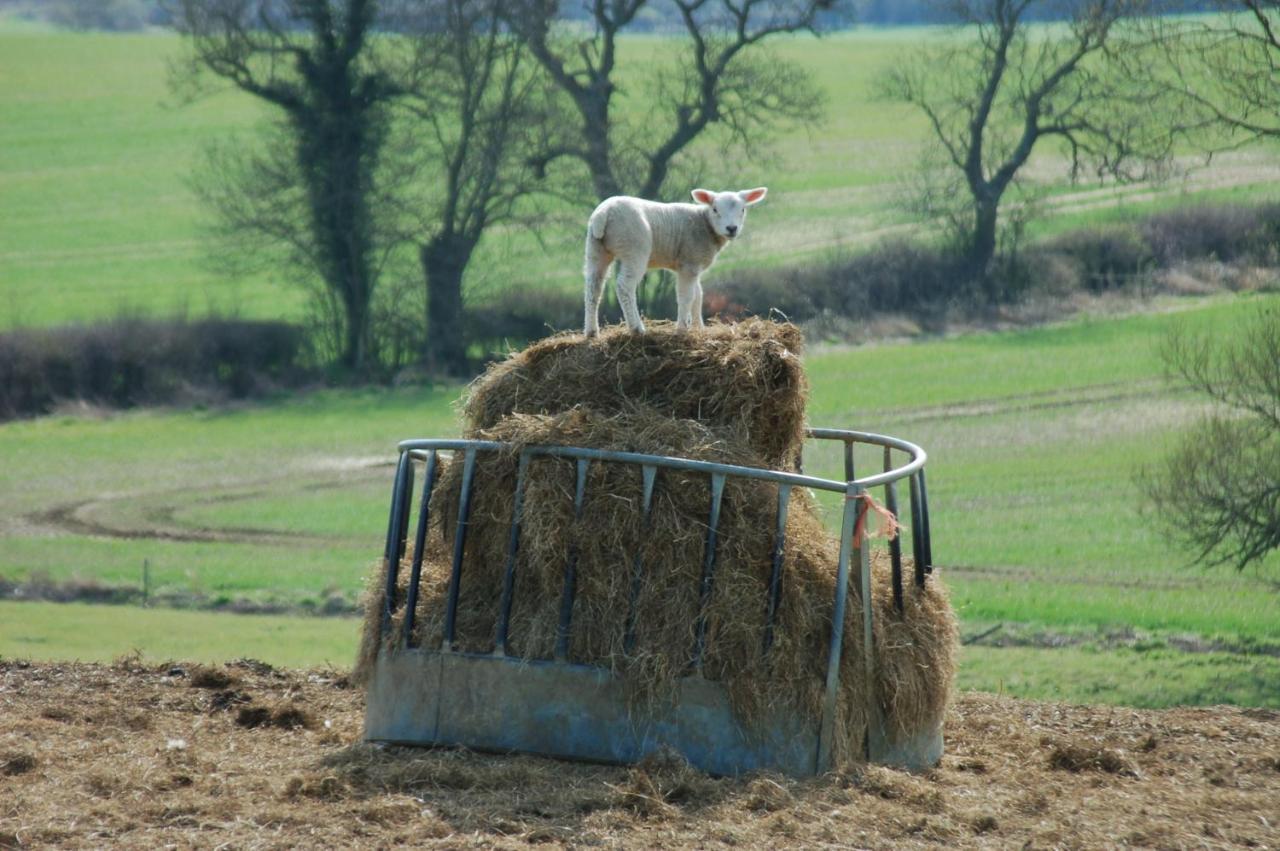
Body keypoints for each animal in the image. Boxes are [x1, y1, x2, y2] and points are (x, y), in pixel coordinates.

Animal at [583, 185, 768, 335]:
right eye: (715, 209)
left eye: (742, 210)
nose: (731, 228)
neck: (705, 224)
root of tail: (603, 213)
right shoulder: (689, 263)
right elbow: (686, 296)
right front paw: (682, 328)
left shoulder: (693, 265)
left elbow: (698, 296)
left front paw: (699, 328)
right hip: (633, 247)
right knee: (624, 286)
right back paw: (636, 328)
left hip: (596, 248)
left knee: (594, 287)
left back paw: (591, 331)